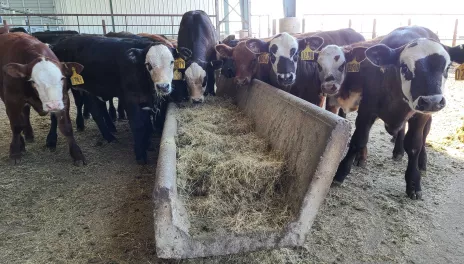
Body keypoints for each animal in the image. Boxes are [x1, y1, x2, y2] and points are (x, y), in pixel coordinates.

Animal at [0, 32, 85, 165]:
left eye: (62, 78)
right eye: (33, 81)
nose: (53, 105)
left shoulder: (63, 99)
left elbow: (66, 127)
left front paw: (77, 154)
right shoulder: (12, 100)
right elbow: (16, 126)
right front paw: (15, 152)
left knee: (26, 112)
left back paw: (29, 134)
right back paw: (22, 143)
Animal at [51, 35, 177, 163]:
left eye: (172, 62)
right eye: (148, 65)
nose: (163, 86)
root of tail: (60, 43)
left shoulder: (145, 100)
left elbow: (146, 124)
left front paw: (147, 144)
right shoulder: (130, 100)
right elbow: (138, 125)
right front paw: (140, 155)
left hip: (90, 90)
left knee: (96, 112)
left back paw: (108, 134)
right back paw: (51, 140)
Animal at [334, 26, 464, 200]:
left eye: (447, 67)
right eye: (405, 67)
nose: (432, 101)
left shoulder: (420, 116)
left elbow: (415, 145)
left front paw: (414, 183)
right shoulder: (367, 108)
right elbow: (359, 139)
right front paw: (340, 173)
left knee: (424, 137)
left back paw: (422, 161)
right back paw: (397, 150)